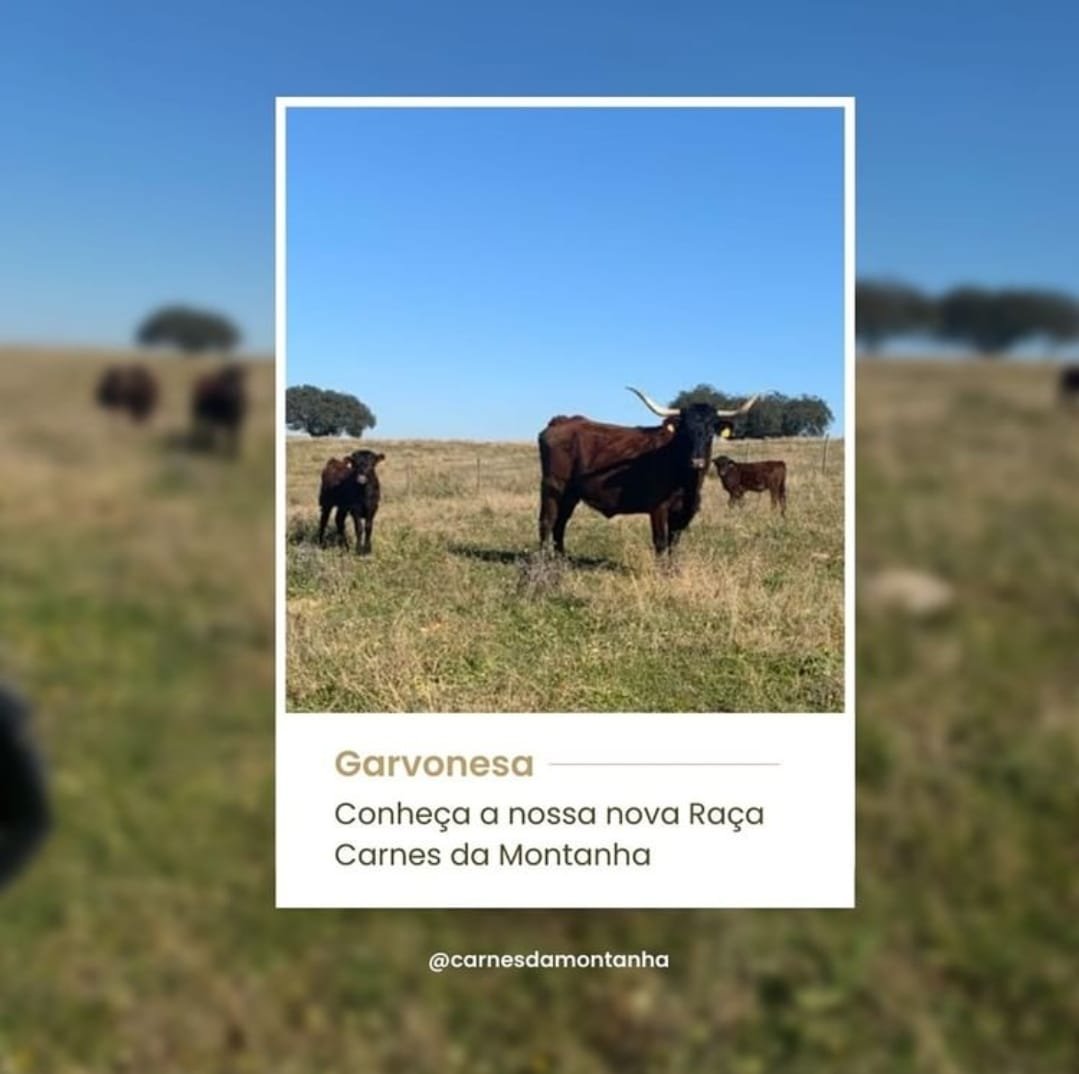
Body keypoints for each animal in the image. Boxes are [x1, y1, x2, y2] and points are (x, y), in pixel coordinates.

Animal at [538, 387, 758, 556]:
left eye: (711, 431)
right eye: (685, 430)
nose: (697, 461)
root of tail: (562, 421)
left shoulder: (682, 512)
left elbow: (673, 543)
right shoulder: (658, 508)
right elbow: (661, 543)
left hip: (570, 495)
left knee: (560, 524)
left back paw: (562, 560)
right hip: (553, 488)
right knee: (547, 523)